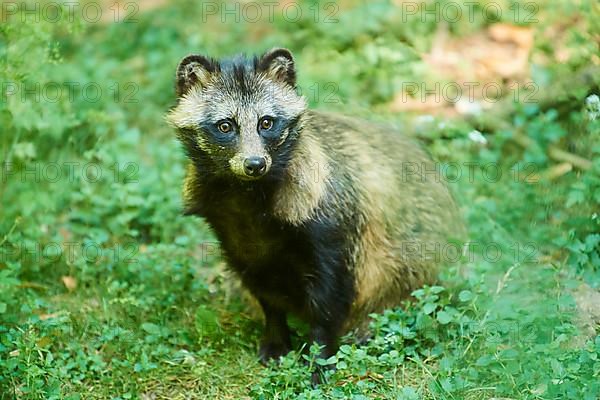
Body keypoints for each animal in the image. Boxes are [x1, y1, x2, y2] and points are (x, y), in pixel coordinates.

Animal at [166, 49, 462, 368]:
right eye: (225, 125)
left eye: (266, 123)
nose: (255, 164)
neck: (247, 197)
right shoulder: (233, 233)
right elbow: (264, 291)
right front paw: (276, 336)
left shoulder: (329, 223)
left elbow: (330, 299)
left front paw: (320, 357)